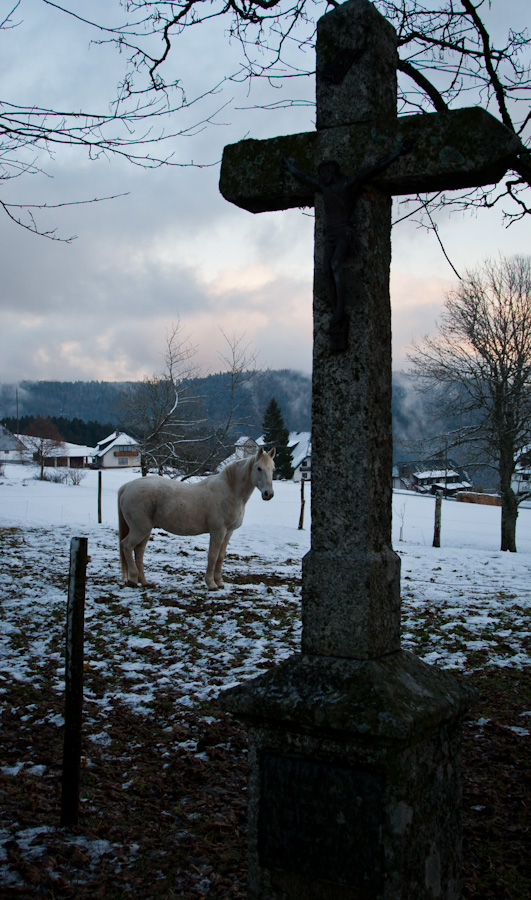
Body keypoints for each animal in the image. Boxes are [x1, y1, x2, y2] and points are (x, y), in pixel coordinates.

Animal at [118, 447, 275, 590]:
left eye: (272, 469)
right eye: (259, 468)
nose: (268, 494)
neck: (230, 491)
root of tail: (128, 486)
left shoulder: (228, 533)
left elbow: (220, 557)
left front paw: (219, 582)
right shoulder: (218, 532)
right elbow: (212, 556)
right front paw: (211, 584)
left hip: (146, 530)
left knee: (139, 552)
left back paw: (145, 582)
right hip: (140, 529)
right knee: (126, 546)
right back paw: (132, 580)